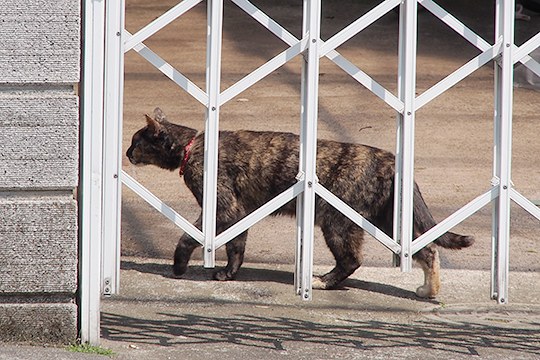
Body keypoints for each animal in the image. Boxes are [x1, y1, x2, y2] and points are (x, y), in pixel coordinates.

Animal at [126, 107, 472, 298]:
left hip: (337, 222)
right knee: (427, 249)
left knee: (352, 260)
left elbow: (188, 238)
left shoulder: (225, 208)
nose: (126, 153)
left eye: (134, 141)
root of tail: (391, 159)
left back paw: (321, 282)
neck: (192, 146)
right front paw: (230, 274)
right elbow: (237, 246)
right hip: (388, 221)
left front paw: (179, 267)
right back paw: (429, 291)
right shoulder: (240, 213)